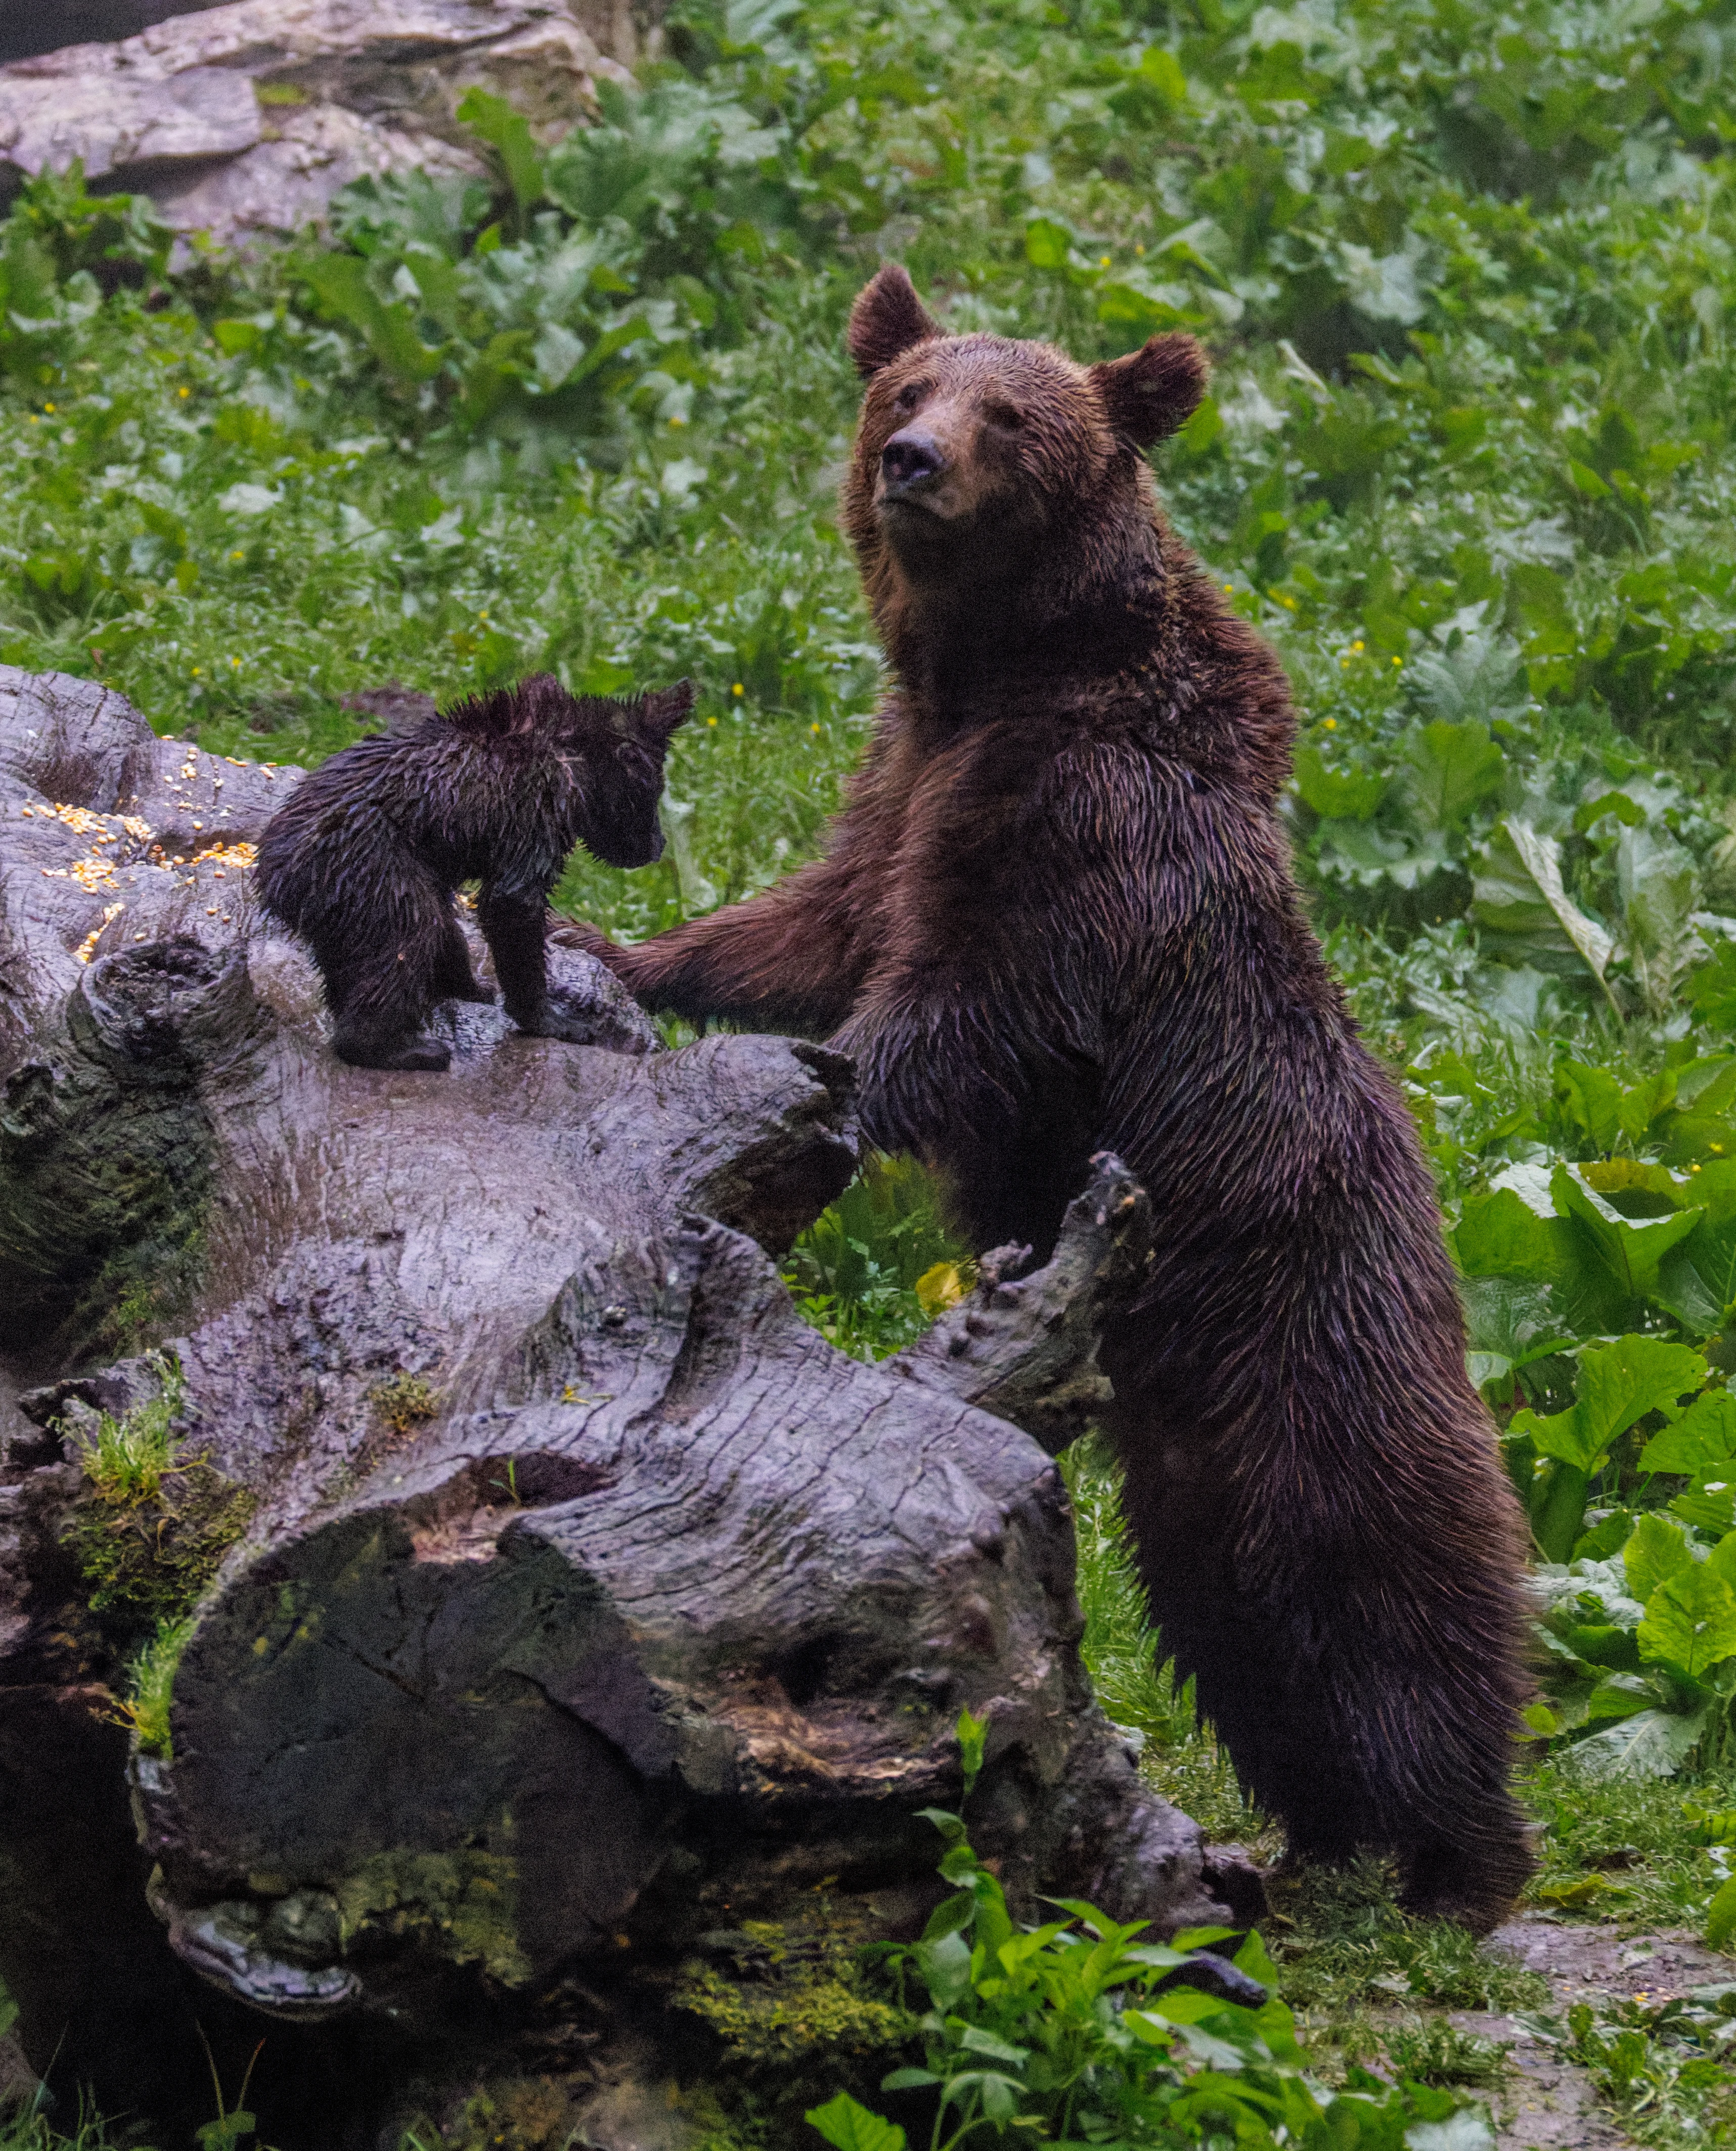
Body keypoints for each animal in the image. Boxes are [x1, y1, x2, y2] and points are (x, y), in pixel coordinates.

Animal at [257, 672, 691, 1071]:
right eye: (653, 789)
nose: (657, 847)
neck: (570, 759)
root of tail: (274, 881)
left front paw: (469, 987)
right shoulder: (532, 819)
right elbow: (513, 908)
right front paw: (551, 1021)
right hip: (372, 871)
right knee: (410, 932)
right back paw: (405, 1050)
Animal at [568, 266, 1533, 1928]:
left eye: (1010, 414)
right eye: (908, 390)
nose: (912, 464)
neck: (995, 674)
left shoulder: (1077, 841)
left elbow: (962, 1012)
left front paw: (808, 1092)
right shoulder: (900, 782)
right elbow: (804, 926)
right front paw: (609, 944)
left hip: (1310, 1336)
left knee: (1378, 1579)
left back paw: (1451, 1863)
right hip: (1188, 1446)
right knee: (1239, 1620)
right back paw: (1316, 1845)